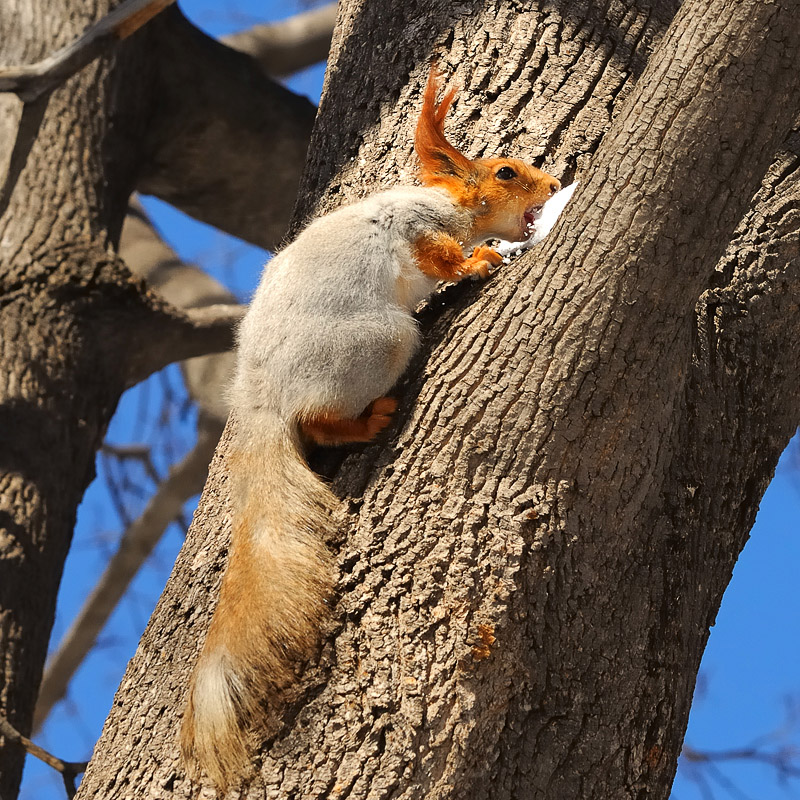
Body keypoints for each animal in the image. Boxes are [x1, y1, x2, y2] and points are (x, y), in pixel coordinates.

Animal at [179, 67, 560, 788]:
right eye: (506, 172)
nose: (554, 187)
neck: (450, 199)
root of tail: (264, 398)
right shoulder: (418, 224)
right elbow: (438, 256)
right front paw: (476, 263)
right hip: (380, 341)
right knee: (323, 423)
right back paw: (371, 417)